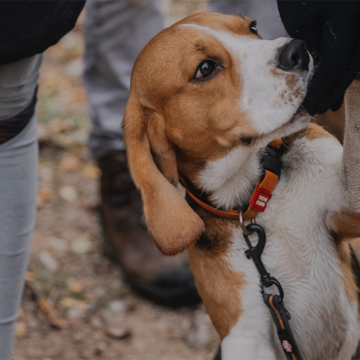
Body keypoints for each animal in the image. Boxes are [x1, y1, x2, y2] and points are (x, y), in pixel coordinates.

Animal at [122, 11, 360, 360]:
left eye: (252, 27)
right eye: (205, 68)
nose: (297, 50)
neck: (253, 199)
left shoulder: (349, 198)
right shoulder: (243, 334)